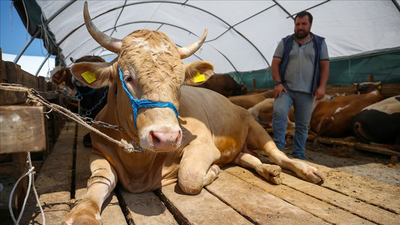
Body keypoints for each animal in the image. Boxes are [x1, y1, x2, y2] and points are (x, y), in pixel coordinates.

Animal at [63, 2, 324, 224]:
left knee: (278, 154)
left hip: (255, 128)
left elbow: (188, 178)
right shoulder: (98, 152)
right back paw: (268, 170)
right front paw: (83, 213)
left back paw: (304, 169)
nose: (166, 138)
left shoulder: (204, 145)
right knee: (249, 158)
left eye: (180, 83)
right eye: (128, 77)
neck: (139, 163)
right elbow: (98, 181)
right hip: (238, 147)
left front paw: (213, 170)